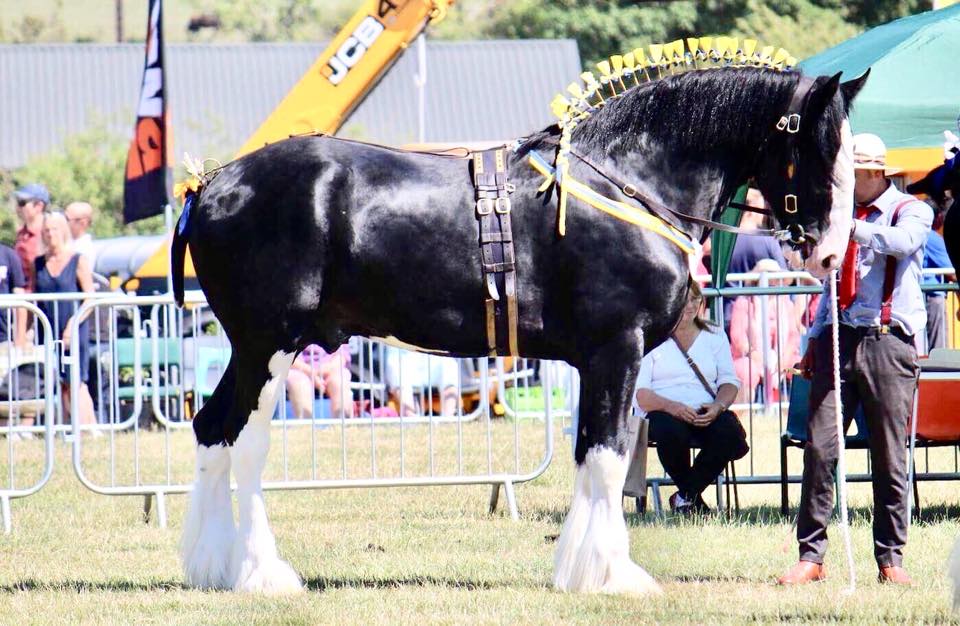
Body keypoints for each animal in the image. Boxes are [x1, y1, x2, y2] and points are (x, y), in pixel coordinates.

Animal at [174, 66, 872, 592]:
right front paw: (609, 575)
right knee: (246, 444)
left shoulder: (598, 361)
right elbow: (607, 456)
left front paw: (580, 569)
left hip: (250, 349)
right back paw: (262, 574)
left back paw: (210, 568)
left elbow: (591, 452)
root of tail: (210, 185)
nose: (831, 253)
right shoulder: (615, 351)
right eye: (819, 147)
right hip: (270, 347)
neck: (629, 184)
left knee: (211, 430)